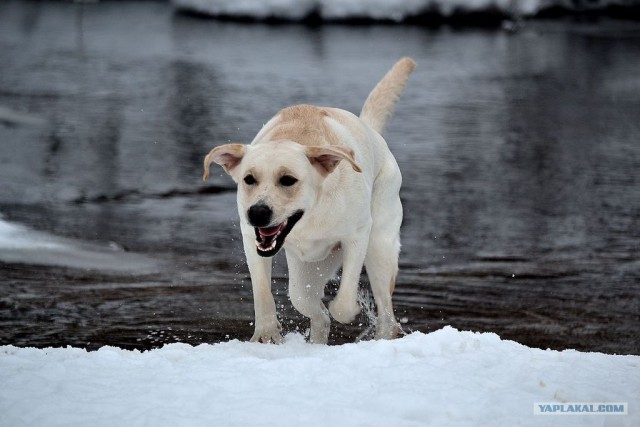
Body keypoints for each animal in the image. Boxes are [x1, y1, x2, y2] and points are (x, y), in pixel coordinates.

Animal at [202, 57, 418, 344]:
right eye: (249, 179)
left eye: (288, 180)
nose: (257, 212)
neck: (311, 214)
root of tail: (372, 132)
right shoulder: (252, 240)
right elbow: (263, 292)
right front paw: (267, 335)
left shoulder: (358, 235)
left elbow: (344, 303)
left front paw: (350, 310)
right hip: (308, 267)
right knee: (306, 302)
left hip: (380, 246)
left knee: (386, 314)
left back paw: (381, 336)